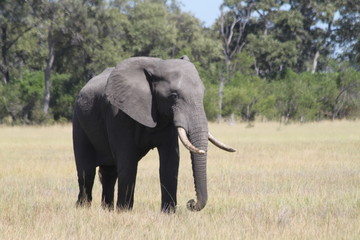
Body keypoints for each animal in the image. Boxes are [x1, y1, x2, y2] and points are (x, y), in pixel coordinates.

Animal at [73, 55, 236, 212]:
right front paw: (124, 211)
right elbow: (127, 161)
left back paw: (106, 209)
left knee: (109, 173)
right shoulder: (118, 114)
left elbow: (171, 161)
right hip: (79, 121)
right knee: (86, 172)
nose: (191, 203)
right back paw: (83, 208)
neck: (157, 66)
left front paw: (168, 213)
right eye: (174, 96)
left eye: (203, 94)